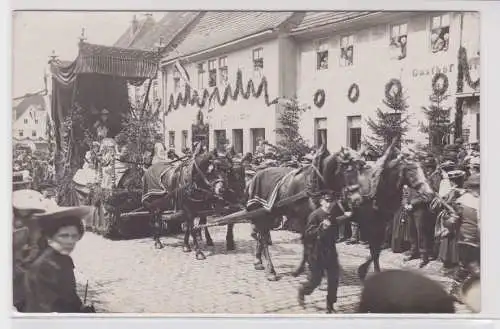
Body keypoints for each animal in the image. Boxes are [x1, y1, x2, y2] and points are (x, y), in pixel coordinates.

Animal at [230, 145, 364, 280]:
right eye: (348, 170)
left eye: (360, 169)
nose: (357, 199)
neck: (316, 184)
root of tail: (254, 178)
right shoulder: (304, 219)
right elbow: (307, 242)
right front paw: (303, 269)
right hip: (264, 214)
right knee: (262, 237)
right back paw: (270, 270)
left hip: (272, 214)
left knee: (261, 235)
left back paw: (258, 261)